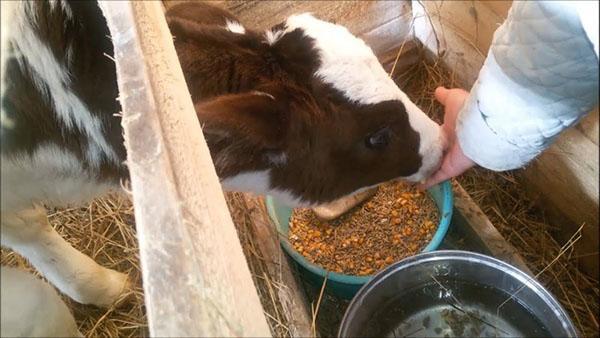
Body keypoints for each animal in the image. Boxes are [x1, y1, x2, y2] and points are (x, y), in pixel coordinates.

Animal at [1, 1, 446, 336]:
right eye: (377, 137)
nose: (442, 143)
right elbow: (31, 251)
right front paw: (100, 286)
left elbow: (29, 224)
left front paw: (100, 287)